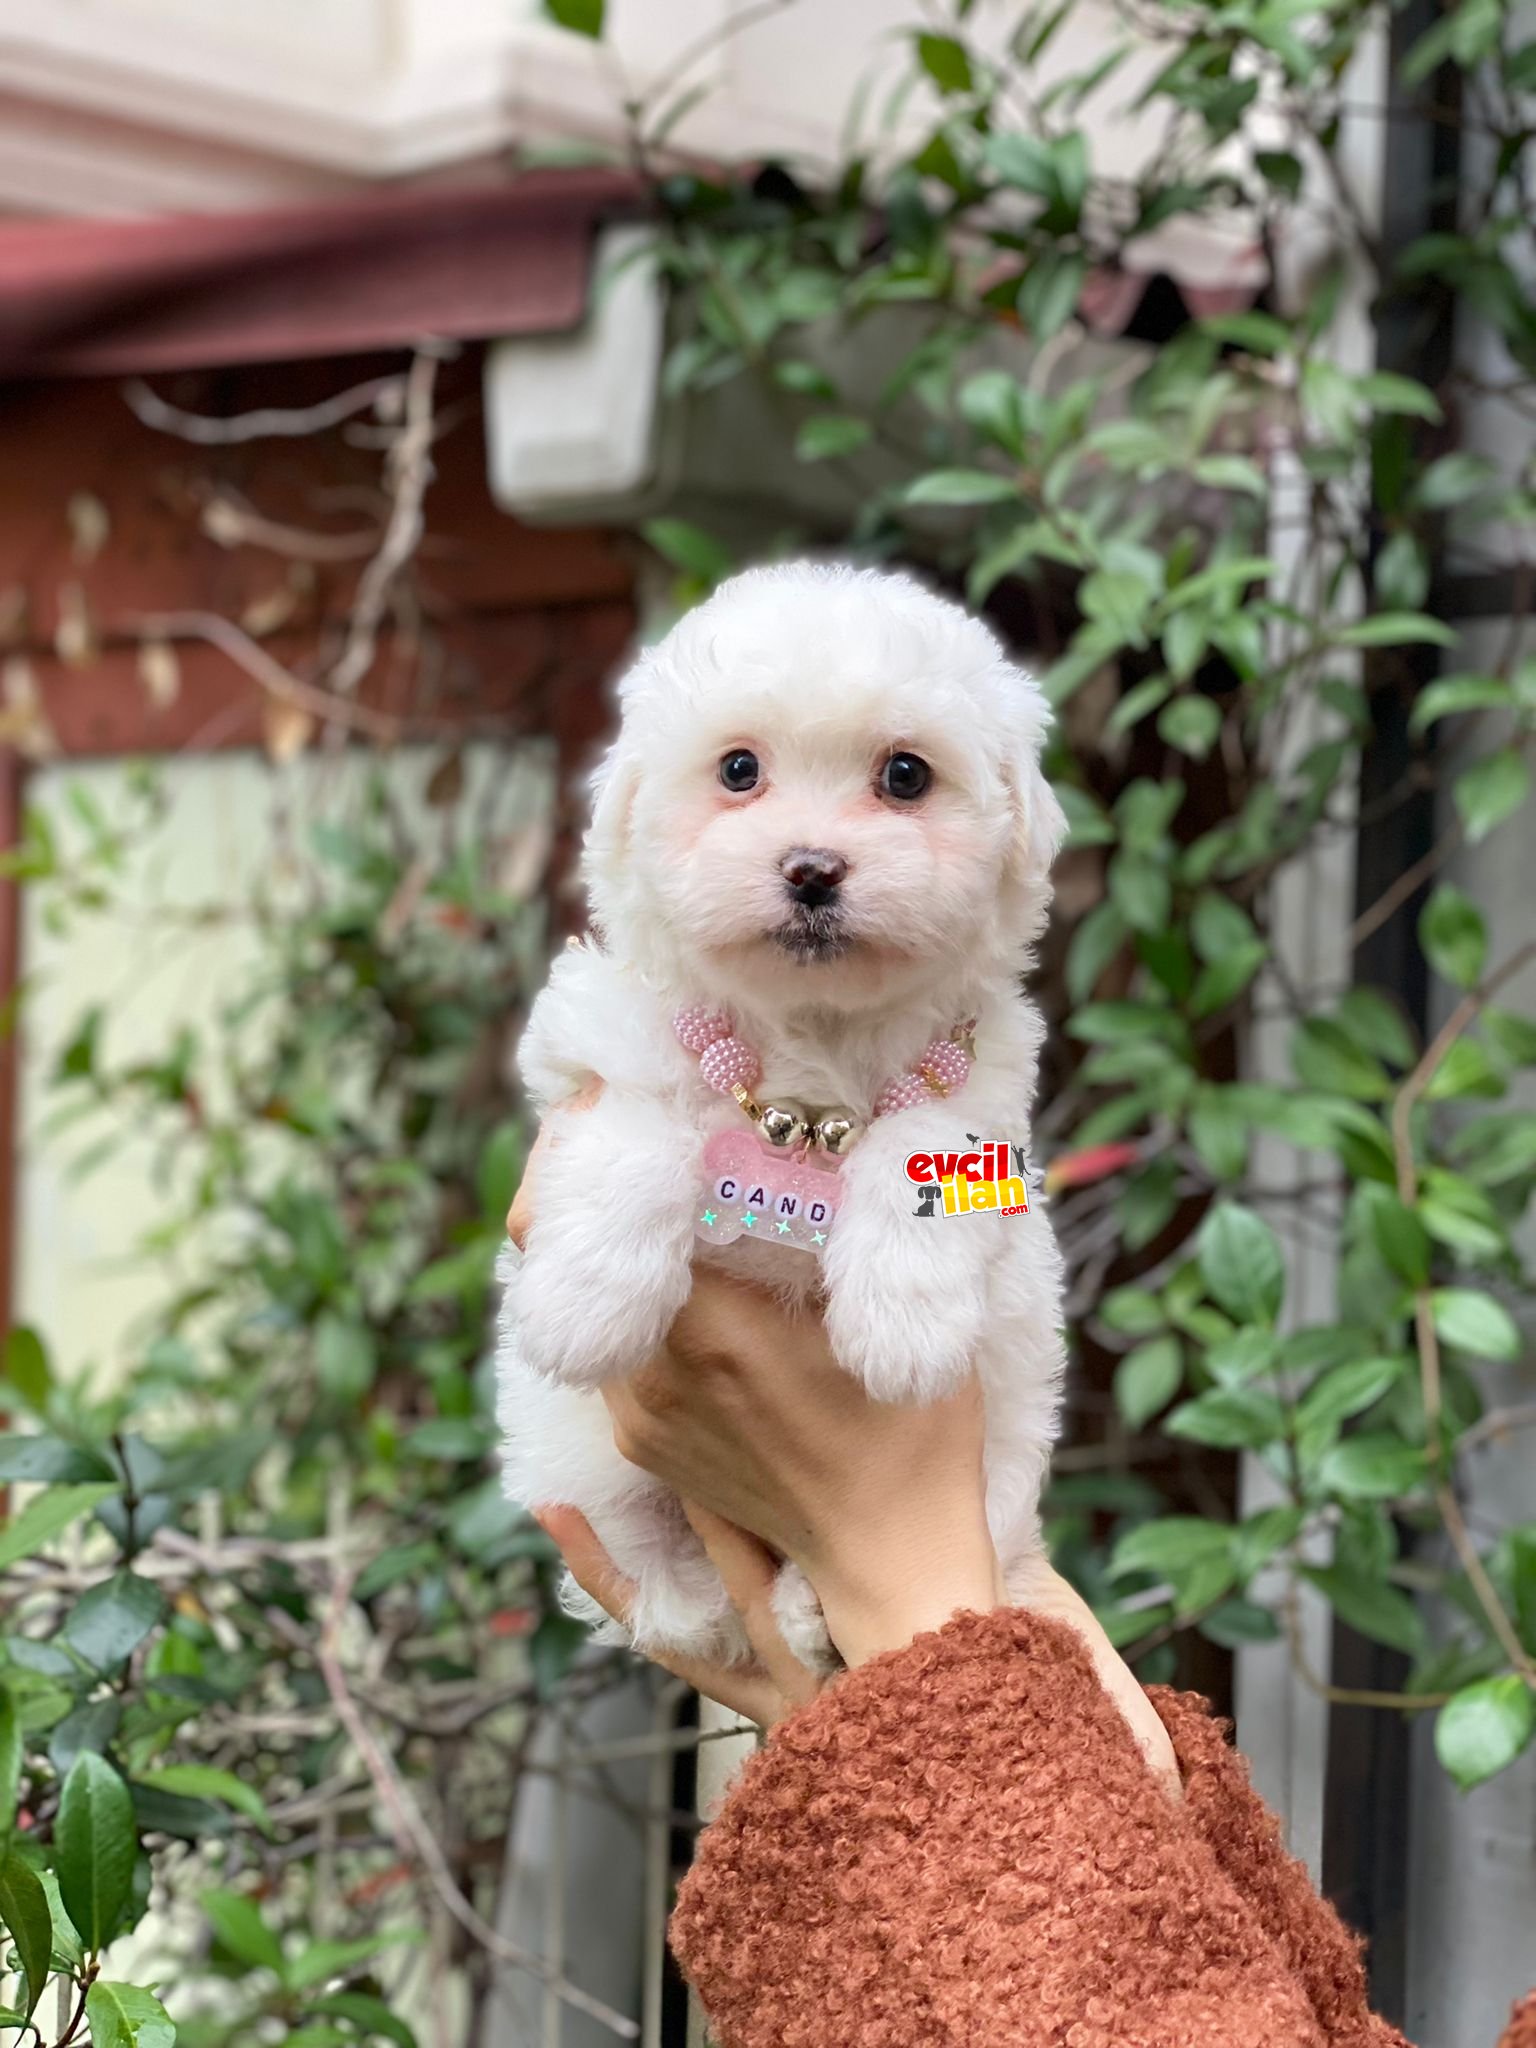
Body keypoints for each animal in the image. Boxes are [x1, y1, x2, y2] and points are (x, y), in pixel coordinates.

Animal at [499, 561, 1064, 1662]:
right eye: (737, 769)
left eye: (905, 776)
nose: (811, 868)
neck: (811, 1043)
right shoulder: (596, 1043)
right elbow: (642, 1133)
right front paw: (586, 1305)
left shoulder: (986, 1096)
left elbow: (921, 1141)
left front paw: (903, 1328)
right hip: (577, 1457)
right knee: (657, 1564)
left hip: (1012, 1438)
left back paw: (805, 1609)